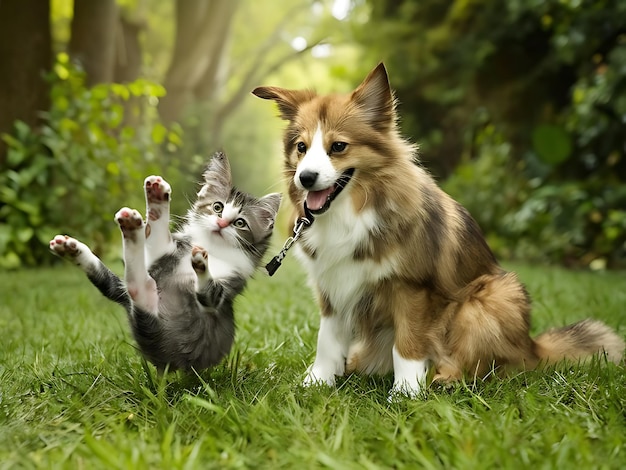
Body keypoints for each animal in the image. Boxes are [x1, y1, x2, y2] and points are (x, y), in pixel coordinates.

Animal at [48, 152, 280, 372]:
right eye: (217, 207)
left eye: (240, 223)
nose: (222, 223)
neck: (213, 247)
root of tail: (166, 360)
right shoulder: (161, 256)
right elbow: (158, 237)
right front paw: (158, 200)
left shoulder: (224, 290)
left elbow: (208, 292)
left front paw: (200, 263)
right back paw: (77, 247)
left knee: (139, 287)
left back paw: (131, 230)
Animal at [251, 64, 620, 398]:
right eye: (301, 147)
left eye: (338, 146)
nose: (305, 178)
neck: (350, 211)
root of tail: (533, 348)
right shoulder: (332, 286)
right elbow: (327, 340)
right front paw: (316, 383)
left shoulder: (412, 288)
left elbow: (408, 345)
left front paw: (406, 392)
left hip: (490, 298)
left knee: (484, 366)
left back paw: (447, 379)